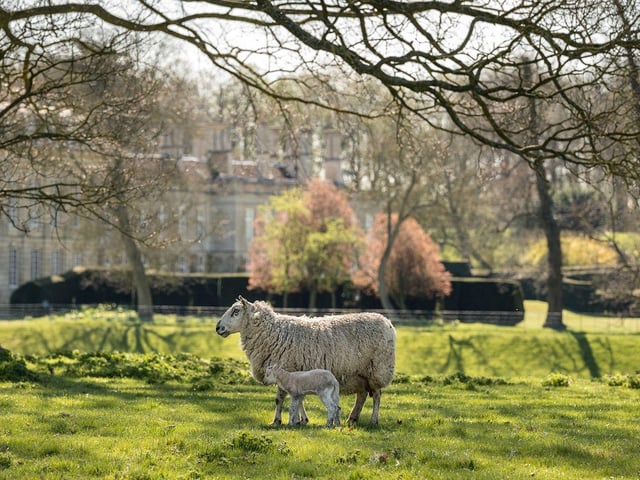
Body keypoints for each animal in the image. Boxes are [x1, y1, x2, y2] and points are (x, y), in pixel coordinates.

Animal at [215, 296, 396, 425]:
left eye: (236, 311)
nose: (218, 327)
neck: (270, 331)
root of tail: (387, 322)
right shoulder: (296, 372)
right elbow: (298, 399)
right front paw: (302, 420)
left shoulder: (286, 367)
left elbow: (280, 398)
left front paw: (278, 421)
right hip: (360, 373)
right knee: (362, 395)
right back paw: (352, 418)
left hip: (378, 369)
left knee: (377, 396)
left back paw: (373, 420)